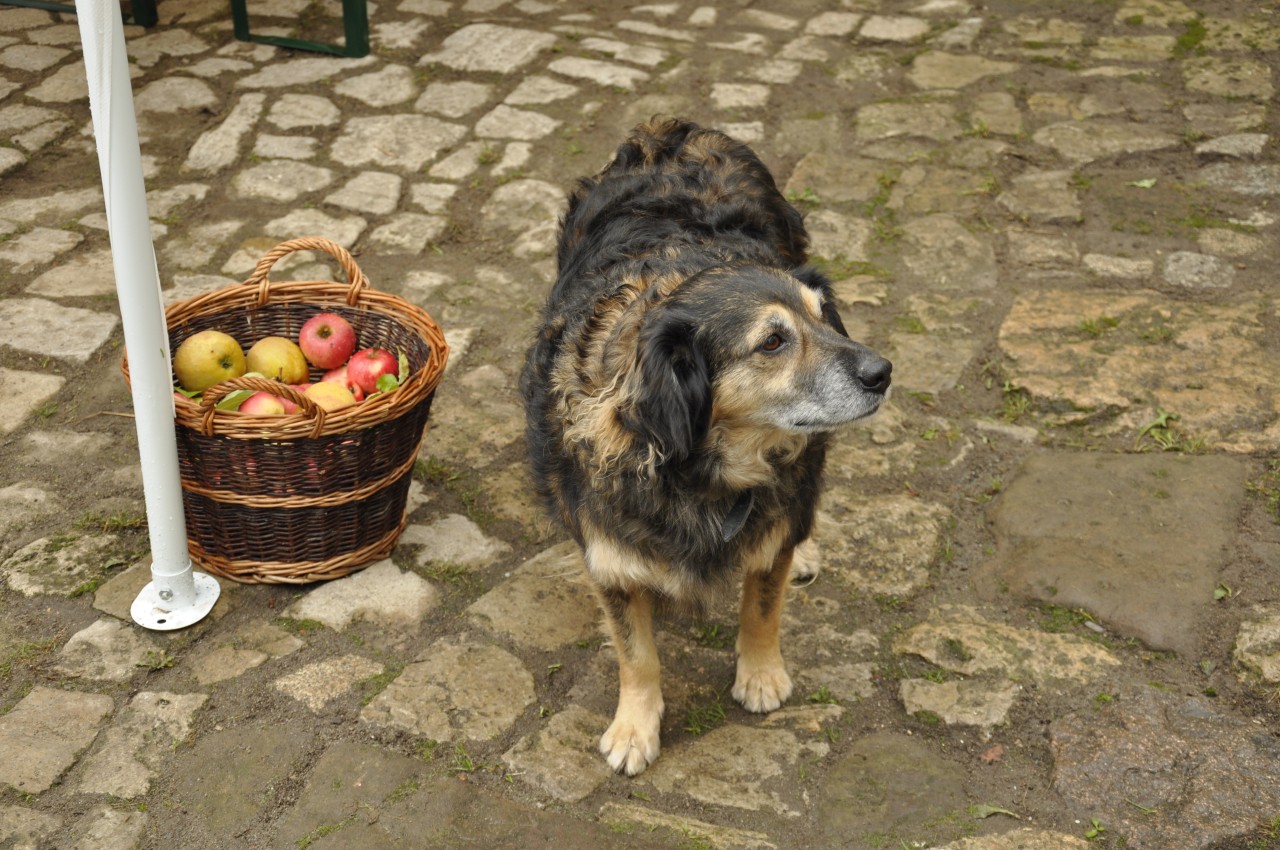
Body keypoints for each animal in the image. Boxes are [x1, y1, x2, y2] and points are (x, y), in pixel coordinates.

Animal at [519, 119, 890, 778]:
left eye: (825, 318)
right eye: (772, 341)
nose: (883, 372)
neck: (698, 469)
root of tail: (675, 130)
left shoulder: (771, 526)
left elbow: (761, 605)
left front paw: (762, 675)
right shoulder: (612, 560)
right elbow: (636, 655)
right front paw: (634, 729)